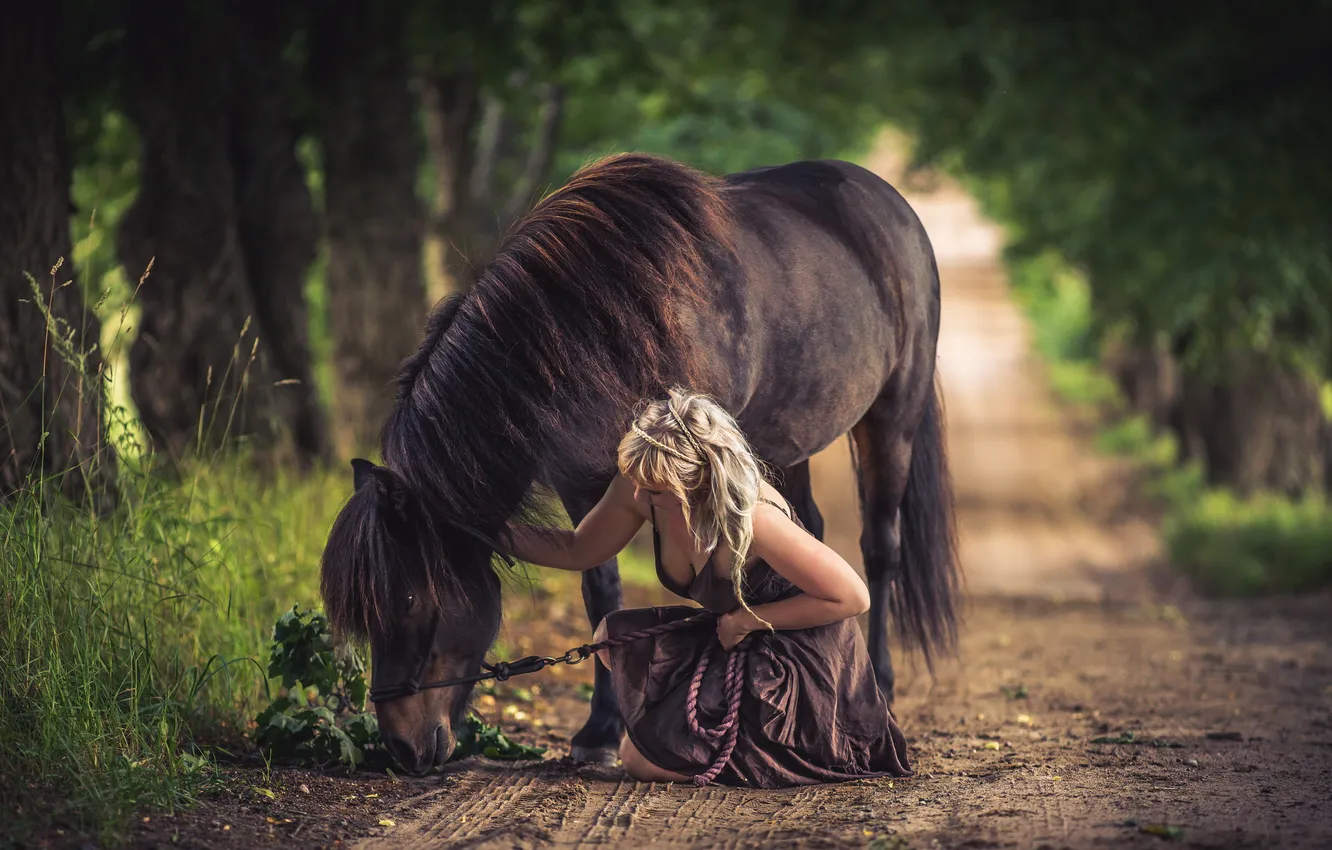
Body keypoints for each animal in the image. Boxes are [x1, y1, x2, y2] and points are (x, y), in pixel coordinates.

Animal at [320, 152, 960, 775]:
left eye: (409, 601)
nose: (401, 749)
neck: (596, 328)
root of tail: (891, 204)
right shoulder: (584, 482)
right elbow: (600, 590)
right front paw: (599, 733)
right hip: (786, 443)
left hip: (892, 419)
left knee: (879, 549)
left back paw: (879, 686)